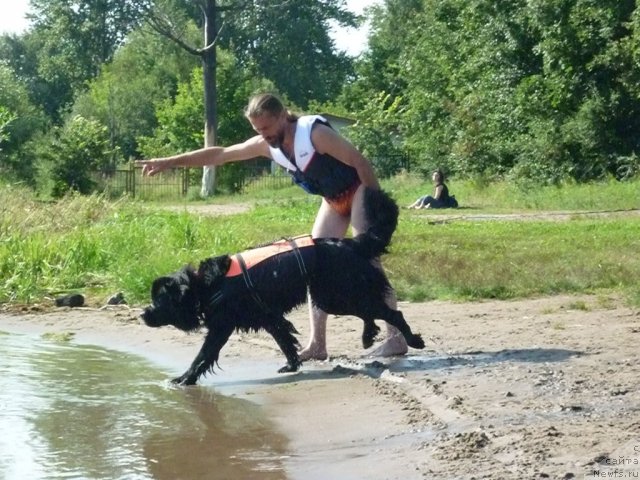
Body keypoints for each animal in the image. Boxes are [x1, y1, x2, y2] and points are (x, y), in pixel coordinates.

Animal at [142, 188, 422, 386]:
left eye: (159, 301)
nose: (143, 314)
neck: (206, 285)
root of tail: (350, 243)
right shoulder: (268, 317)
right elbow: (284, 340)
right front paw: (292, 365)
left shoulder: (222, 326)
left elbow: (203, 354)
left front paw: (184, 379)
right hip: (335, 295)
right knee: (371, 312)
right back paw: (368, 336)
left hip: (337, 295)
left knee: (391, 312)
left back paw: (413, 340)